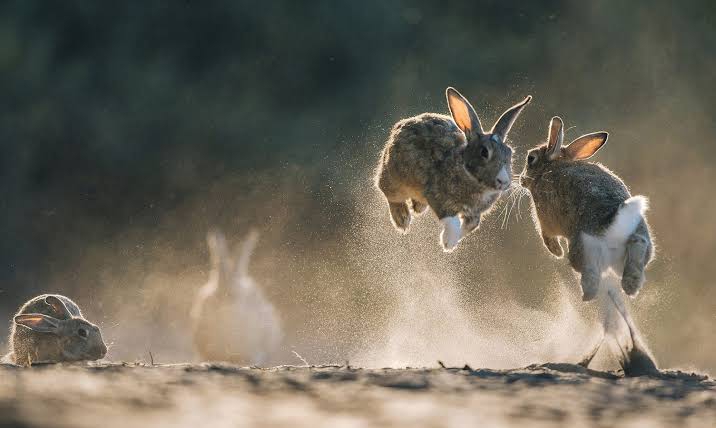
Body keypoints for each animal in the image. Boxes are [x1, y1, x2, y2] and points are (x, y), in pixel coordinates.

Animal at [375, 87, 531, 251]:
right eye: (484, 152)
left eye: (509, 152)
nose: (504, 182)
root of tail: (398, 129)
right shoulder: (439, 197)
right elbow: (452, 220)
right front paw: (448, 242)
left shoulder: (474, 214)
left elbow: (472, 225)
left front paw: (453, 242)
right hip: (394, 179)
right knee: (390, 194)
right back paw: (402, 220)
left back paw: (418, 207)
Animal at [520, 116, 654, 301]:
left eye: (531, 158)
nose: (521, 180)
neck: (548, 168)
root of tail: (615, 225)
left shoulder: (544, 220)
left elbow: (547, 236)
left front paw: (556, 252)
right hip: (637, 242)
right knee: (637, 250)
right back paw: (630, 289)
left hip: (583, 249)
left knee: (591, 275)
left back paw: (587, 296)